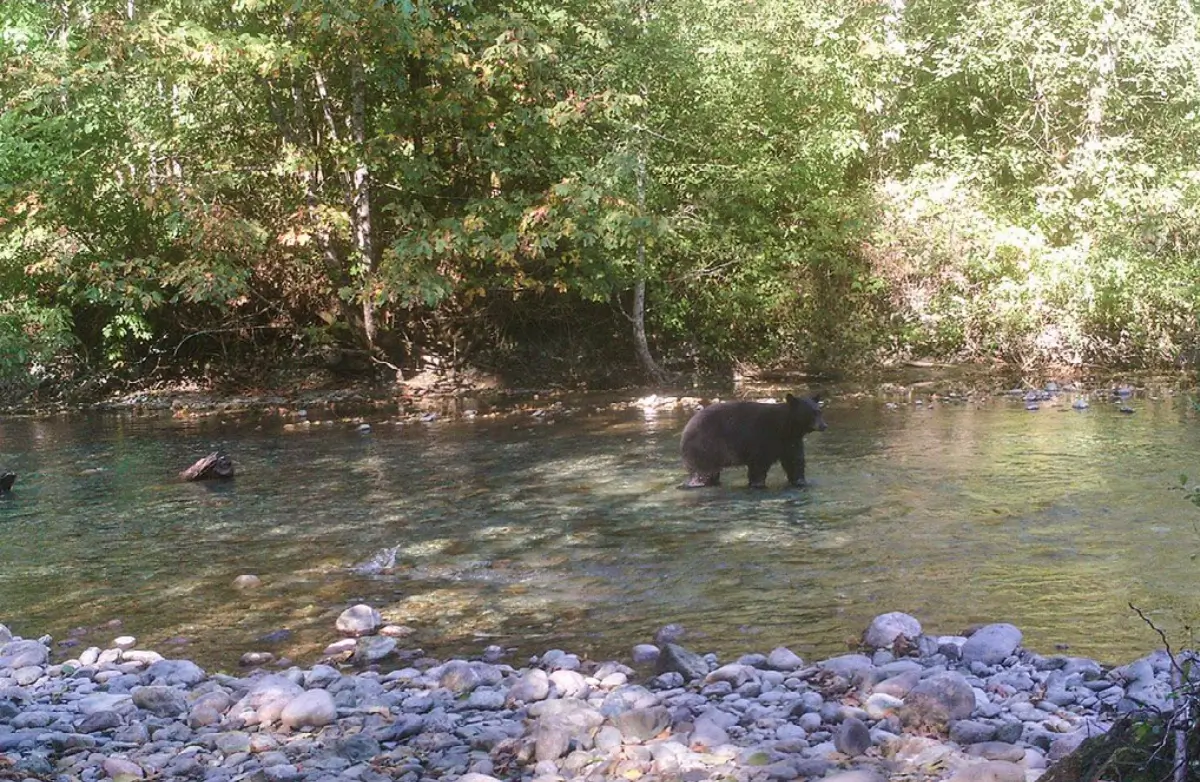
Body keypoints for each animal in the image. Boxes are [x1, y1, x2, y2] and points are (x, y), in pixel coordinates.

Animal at [686, 391, 825, 489]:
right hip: (705, 446)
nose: (824, 425)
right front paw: (758, 484)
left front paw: (800, 481)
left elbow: (794, 461)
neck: (785, 427)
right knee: (703, 472)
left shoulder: (791, 441)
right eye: (811, 412)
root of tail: (687, 428)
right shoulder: (762, 438)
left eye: (819, 411)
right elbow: (759, 464)